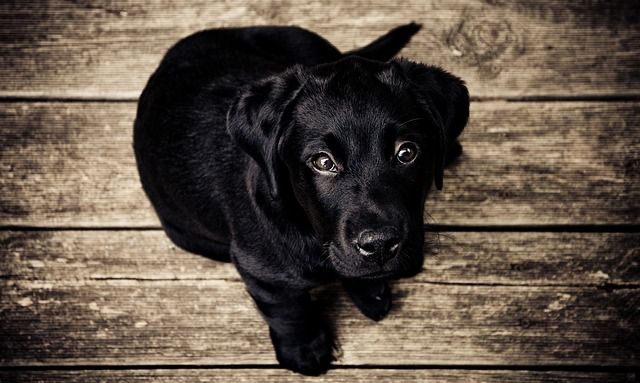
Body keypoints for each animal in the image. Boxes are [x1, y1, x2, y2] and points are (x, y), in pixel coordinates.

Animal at [132, 22, 468, 376]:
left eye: (406, 152)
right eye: (322, 162)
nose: (379, 246)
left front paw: (368, 289)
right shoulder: (259, 270)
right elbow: (288, 310)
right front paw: (304, 349)